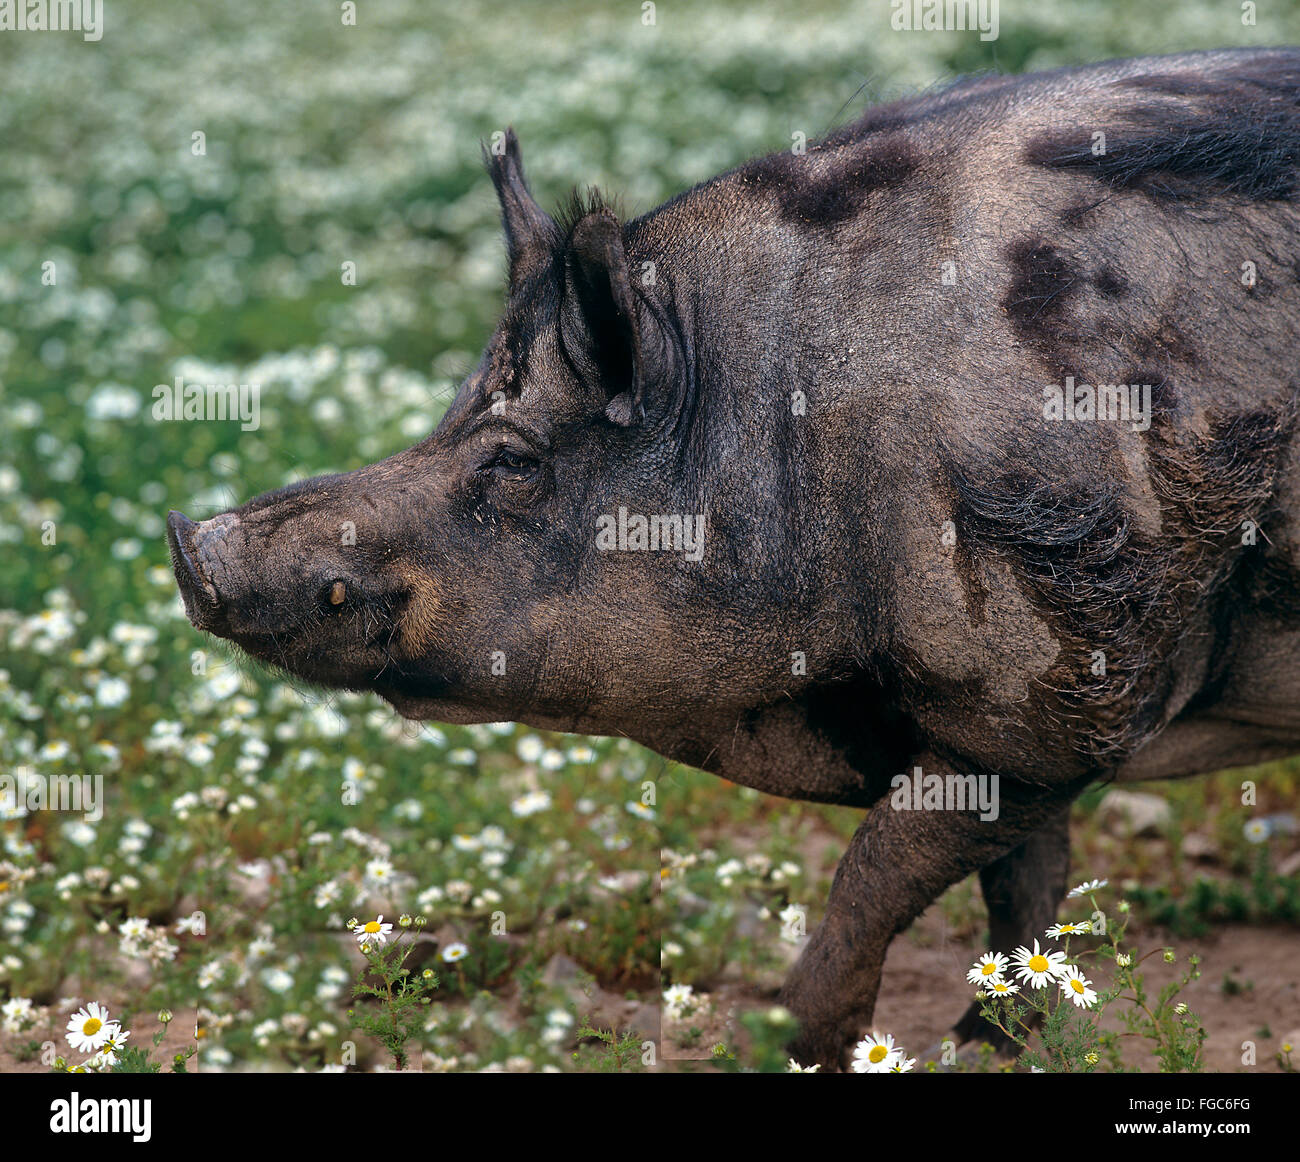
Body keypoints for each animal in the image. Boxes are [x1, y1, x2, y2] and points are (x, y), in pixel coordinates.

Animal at [168, 46, 1300, 1069]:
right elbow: (1024, 885)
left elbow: (879, 872)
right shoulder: (1002, 710)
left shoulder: (1051, 690)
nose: (192, 545)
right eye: (452, 412)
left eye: (512, 459)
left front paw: (793, 1042)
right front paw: (992, 1043)